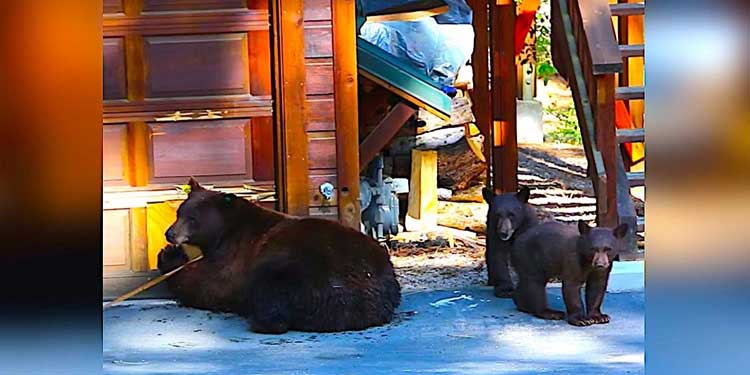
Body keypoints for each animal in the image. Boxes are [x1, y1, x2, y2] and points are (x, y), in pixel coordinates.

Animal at [156, 179, 402, 334]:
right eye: (179, 212)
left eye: (192, 218)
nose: (169, 234)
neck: (225, 232)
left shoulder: (236, 254)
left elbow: (211, 285)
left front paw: (170, 257)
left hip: (299, 267)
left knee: (269, 290)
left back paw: (261, 319)